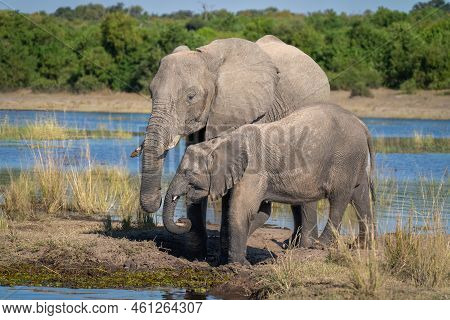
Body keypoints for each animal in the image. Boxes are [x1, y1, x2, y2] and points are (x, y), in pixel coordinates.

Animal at [139, 35, 328, 260]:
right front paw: (195, 255)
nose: (183, 222)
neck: (210, 60)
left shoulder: (251, 111)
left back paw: (304, 248)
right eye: (150, 93)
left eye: (191, 96)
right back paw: (291, 244)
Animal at [163, 103, 374, 264]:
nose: (184, 221)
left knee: (339, 199)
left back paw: (320, 245)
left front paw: (238, 265)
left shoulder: (252, 171)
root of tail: (363, 125)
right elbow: (261, 212)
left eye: (188, 173)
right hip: (356, 160)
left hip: (345, 159)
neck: (221, 142)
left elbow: (241, 210)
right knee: (361, 197)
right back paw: (362, 246)